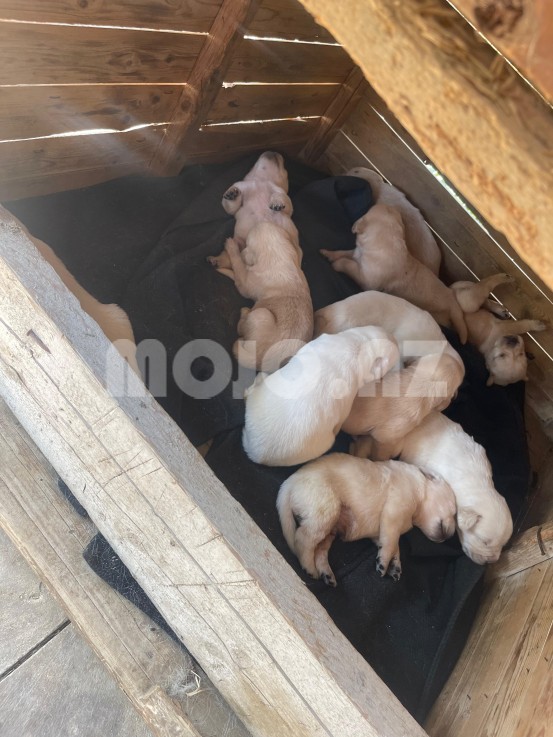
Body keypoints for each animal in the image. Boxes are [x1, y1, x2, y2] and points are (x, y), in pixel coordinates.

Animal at [223, 222, 313, 371]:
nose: (259, 221)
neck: (278, 256)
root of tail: (260, 360)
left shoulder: (245, 284)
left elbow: (239, 265)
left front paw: (233, 246)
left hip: (260, 314)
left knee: (241, 328)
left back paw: (245, 313)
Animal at [276, 452, 456, 585]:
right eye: (454, 511)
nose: (451, 537)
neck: (421, 490)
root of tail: (288, 484)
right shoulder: (394, 511)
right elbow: (392, 541)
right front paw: (384, 563)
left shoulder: (380, 532)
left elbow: (393, 545)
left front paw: (394, 565)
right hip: (325, 509)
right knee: (302, 538)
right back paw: (309, 568)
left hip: (329, 528)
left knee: (319, 549)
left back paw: (326, 573)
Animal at [320, 204, 467, 343]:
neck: (386, 242)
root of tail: (452, 299)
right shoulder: (357, 254)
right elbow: (345, 253)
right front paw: (329, 253)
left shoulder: (364, 277)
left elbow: (347, 263)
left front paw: (336, 264)